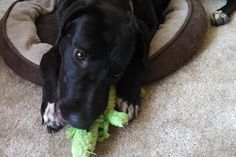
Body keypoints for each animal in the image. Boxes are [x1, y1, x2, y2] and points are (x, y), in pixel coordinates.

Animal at [40, 0, 170, 132]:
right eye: (79, 54)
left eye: (117, 73)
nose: (79, 122)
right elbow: (45, 59)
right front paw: (51, 108)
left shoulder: (149, 28)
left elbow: (139, 59)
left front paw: (128, 98)